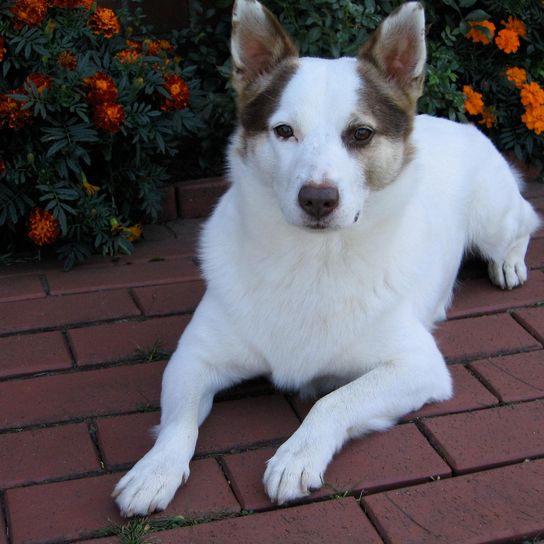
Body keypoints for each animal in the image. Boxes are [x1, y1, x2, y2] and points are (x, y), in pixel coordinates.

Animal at [113, 0, 540, 516]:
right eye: (283, 131)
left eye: (360, 133)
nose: (318, 198)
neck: (312, 262)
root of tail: (452, 122)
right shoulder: (192, 358)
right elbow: (179, 424)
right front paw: (155, 469)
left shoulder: (418, 365)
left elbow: (333, 401)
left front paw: (298, 454)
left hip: (494, 220)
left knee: (526, 221)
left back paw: (509, 263)